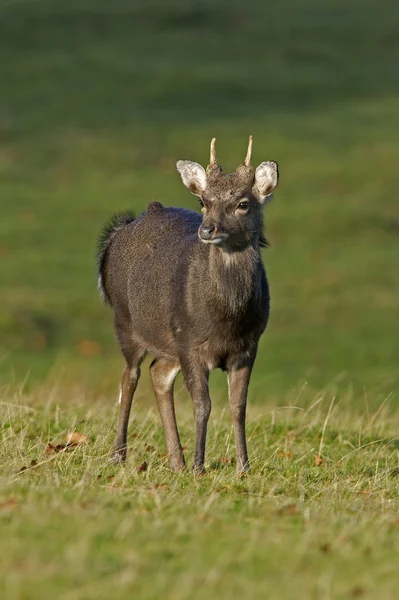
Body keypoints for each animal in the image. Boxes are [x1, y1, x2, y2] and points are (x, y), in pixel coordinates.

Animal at [97, 137, 280, 474]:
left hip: (168, 345)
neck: (226, 320)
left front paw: (243, 468)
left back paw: (175, 461)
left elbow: (238, 407)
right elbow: (202, 404)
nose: (207, 229)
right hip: (125, 321)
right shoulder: (190, 343)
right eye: (203, 202)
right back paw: (119, 455)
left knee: (158, 373)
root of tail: (117, 232)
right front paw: (199, 466)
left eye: (243, 203)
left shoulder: (248, 346)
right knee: (129, 377)